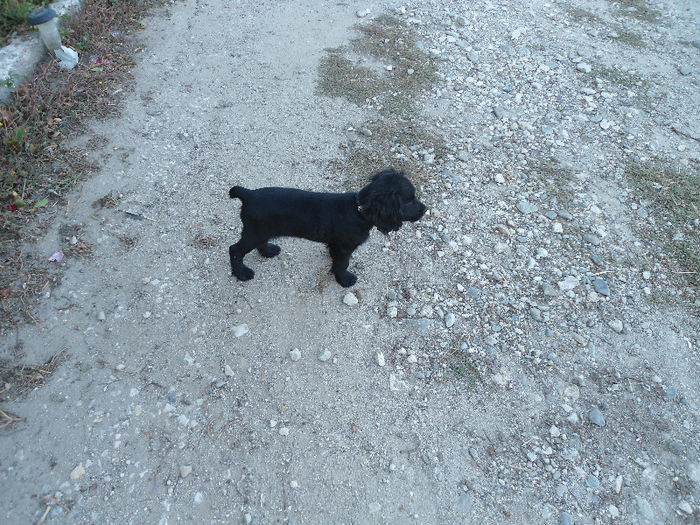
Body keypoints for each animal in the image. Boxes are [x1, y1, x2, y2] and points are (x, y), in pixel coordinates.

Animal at [230, 168, 426, 286]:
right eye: (410, 200)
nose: (425, 209)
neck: (359, 210)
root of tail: (249, 194)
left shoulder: (336, 244)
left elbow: (336, 258)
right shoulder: (345, 247)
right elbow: (343, 263)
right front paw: (344, 279)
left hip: (261, 231)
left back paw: (268, 251)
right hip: (254, 232)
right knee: (235, 250)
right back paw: (242, 273)